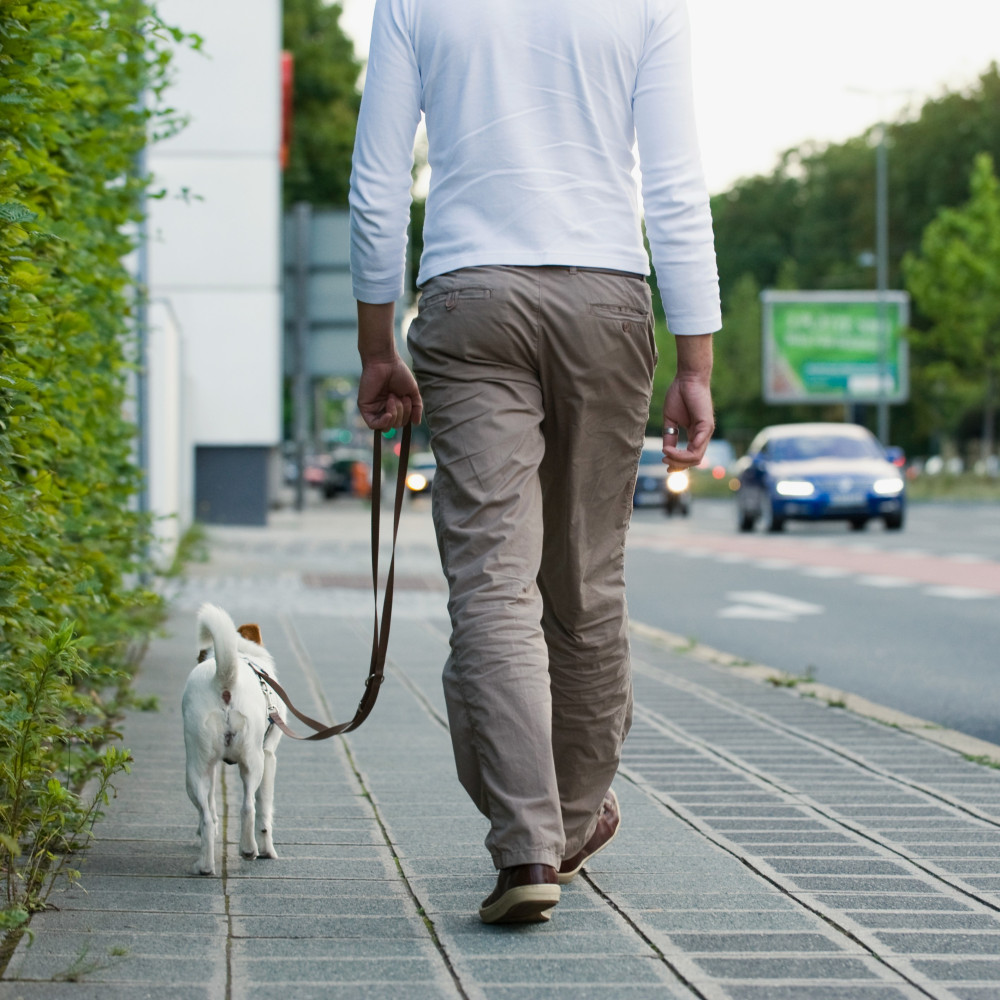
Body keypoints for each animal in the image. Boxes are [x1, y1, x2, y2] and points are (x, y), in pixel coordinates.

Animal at [182, 600, 284, 876]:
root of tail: (224, 679)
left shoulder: (214, 766)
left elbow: (211, 808)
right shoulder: (269, 757)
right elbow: (265, 809)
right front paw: (268, 850)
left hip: (197, 767)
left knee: (207, 817)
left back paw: (205, 866)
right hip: (253, 760)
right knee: (248, 807)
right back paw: (249, 849)